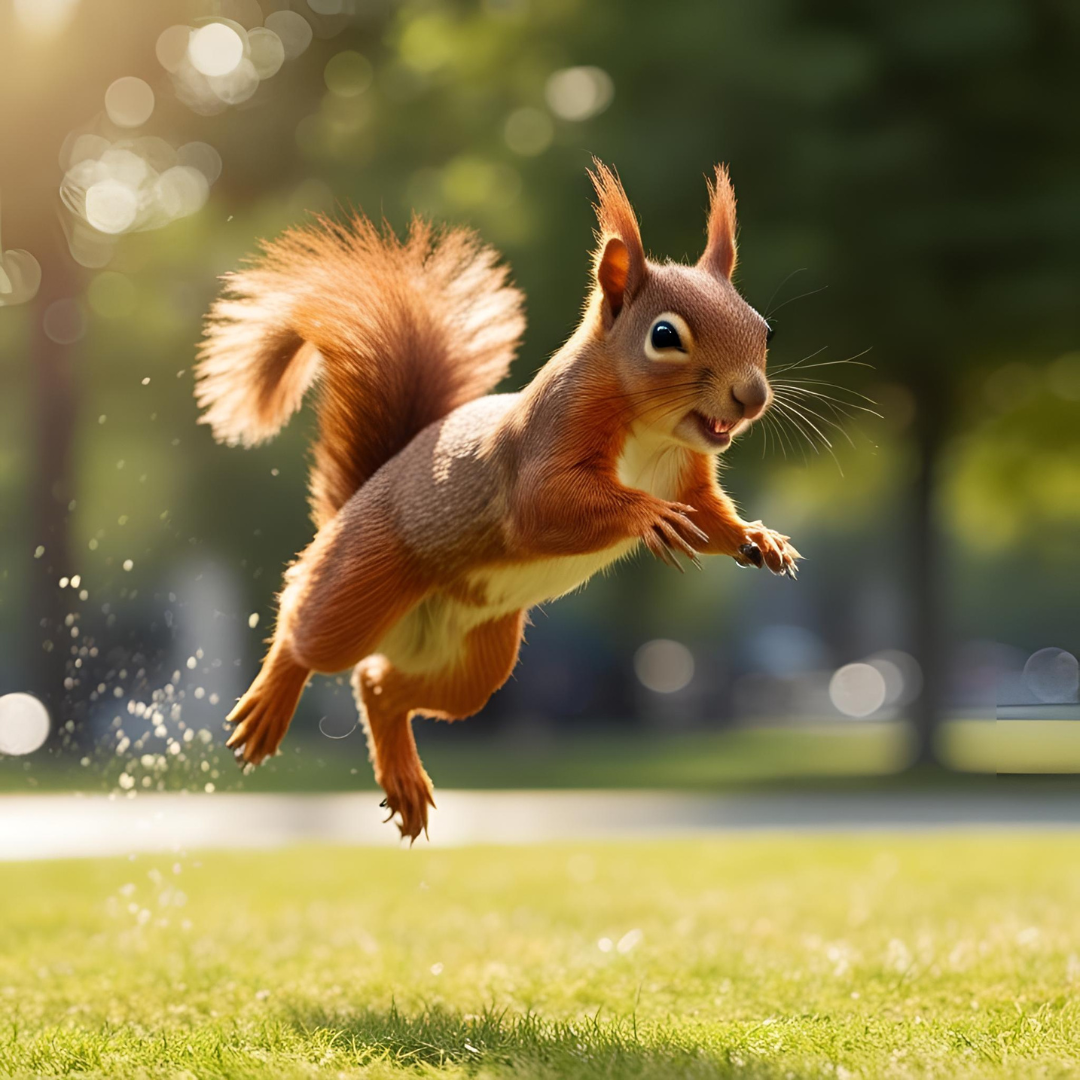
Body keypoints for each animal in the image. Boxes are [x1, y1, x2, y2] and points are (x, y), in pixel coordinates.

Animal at [195, 161, 800, 840]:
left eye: (764, 329)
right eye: (665, 335)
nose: (751, 397)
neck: (653, 431)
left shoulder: (687, 478)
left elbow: (709, 516)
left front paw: (758, 538)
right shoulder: (544, 450)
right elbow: (545, 504)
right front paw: (647, 516)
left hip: (477, 665)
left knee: (378, 685)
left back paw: (404, 779)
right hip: (358, 586)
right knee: (307, 625)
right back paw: (269, 704)